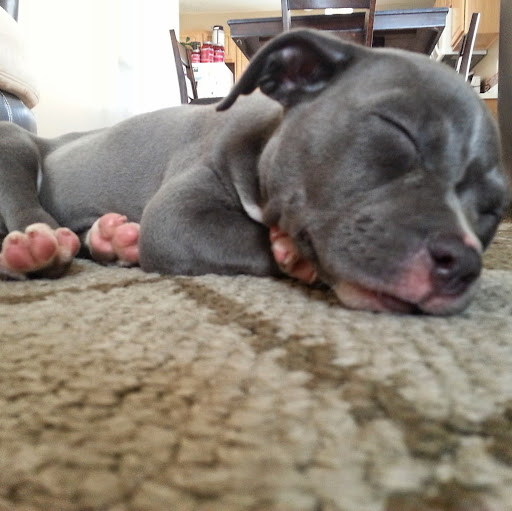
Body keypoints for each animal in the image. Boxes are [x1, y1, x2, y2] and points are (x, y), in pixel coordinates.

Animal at [0, 29, 509, 315]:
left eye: (492, 210)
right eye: (398, 131)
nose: (462, 264)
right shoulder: (177, 218)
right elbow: (247, 239)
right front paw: (295, 258)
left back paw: (111, 238)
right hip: (13, 143)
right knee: (29, 209)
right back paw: (37, 247)